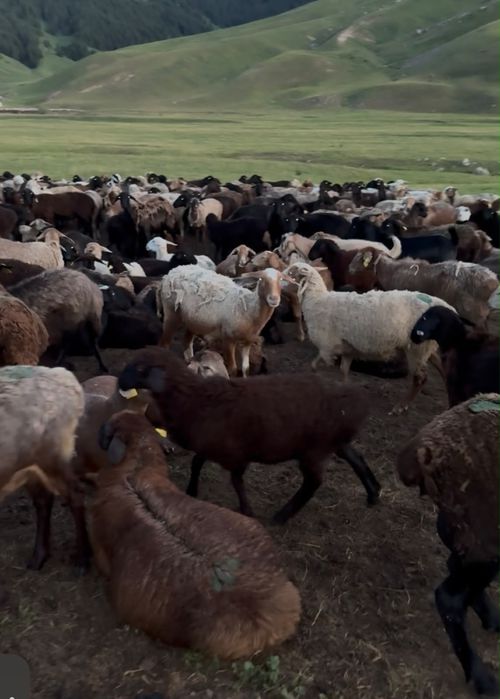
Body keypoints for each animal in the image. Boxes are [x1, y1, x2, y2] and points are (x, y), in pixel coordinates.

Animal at [0, 365, 85, 570]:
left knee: (75, 495)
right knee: (44, 499)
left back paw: (82, 560)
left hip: (53, 456)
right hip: (28, 466)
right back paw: (39, 556)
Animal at [118, 348, 381, 522]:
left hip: (314, 448)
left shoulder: (234, 453)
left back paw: (282, 516)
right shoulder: (211, 445)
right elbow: (197, 463)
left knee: (313, 482)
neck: (193, 397)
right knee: (356, 458)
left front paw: (247, 510)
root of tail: (354, 401)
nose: (120, 381)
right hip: (333, 441)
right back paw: (373, 493)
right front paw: (192, 490)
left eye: (140, 368)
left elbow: (235, 480)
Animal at [157, 265, 285, 376]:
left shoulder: (247, 341)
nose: (274, 299)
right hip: (171, 314)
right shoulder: (228, 339)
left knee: (187, 344)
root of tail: (171, 272)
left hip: (193, 321)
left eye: (281, 280)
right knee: (164, 344)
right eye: (261, 279)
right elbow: (232, 369)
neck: (248, 308)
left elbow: (246, 369)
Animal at [285, 262, 456, 413]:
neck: (316, 300)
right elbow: (343, 370)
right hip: (427, 346)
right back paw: (449, 402)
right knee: (443, 369)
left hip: (416, 348)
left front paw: (315, 377)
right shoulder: (347, 348)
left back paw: (401, 406)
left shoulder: (328, 345)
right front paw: (344, 389)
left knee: (420, 378)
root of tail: (447, 308)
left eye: (291, 272)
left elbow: (315, 365)